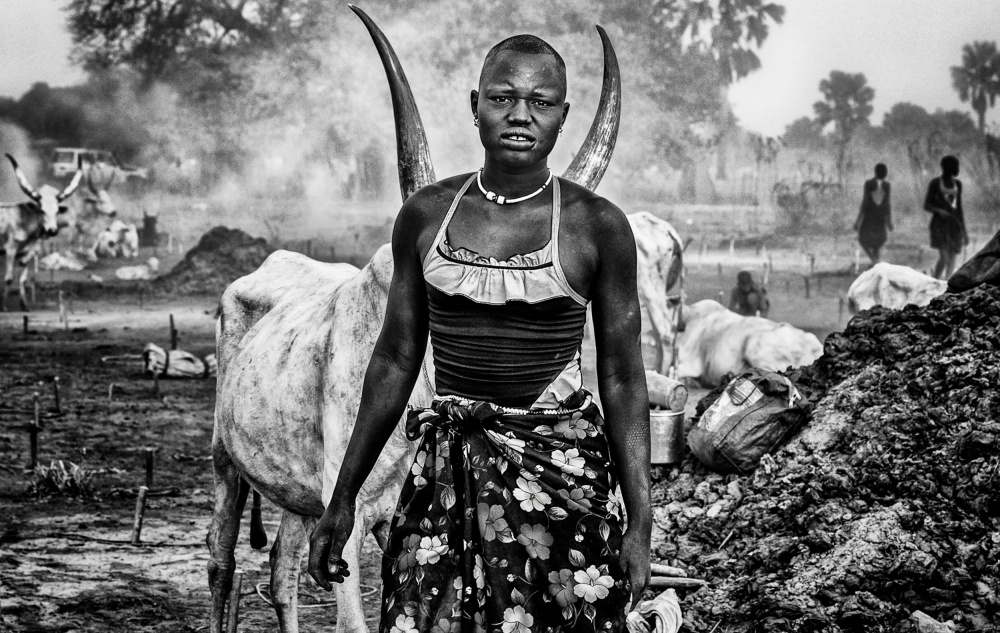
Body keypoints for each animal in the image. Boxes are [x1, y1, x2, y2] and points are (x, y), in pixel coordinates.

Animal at [210, 6, 624, 632]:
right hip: (224, 458)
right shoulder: (347, 515)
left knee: (281, 572)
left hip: (296, 496)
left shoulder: (389, 521)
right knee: (221, 560)